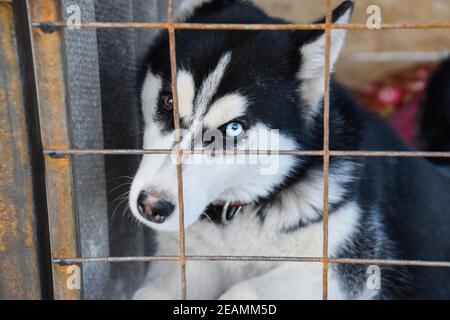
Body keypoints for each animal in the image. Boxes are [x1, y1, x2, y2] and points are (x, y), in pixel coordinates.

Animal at [128, 0, 450, 300]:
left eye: (234, 128)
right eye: (168, 101)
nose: (152, 205)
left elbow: (243, 290)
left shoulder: (347, 266)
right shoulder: (191, 258)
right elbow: (151, 292)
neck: (242, 211)